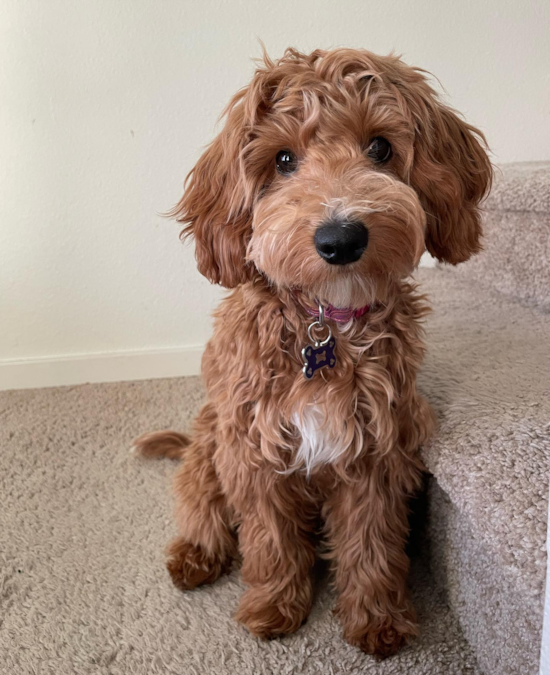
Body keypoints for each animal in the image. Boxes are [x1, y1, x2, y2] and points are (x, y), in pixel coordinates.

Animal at [135, 48, 496, 660]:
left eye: (381, 148)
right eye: (283, 159)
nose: (341, 239)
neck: (325, 323)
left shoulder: (377, 450)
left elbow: (371, 542)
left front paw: (377, 619)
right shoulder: (254, 449)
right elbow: (269, 539)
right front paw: (274, 606)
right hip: (209, 442)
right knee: (200, 504)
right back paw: (197, 555)